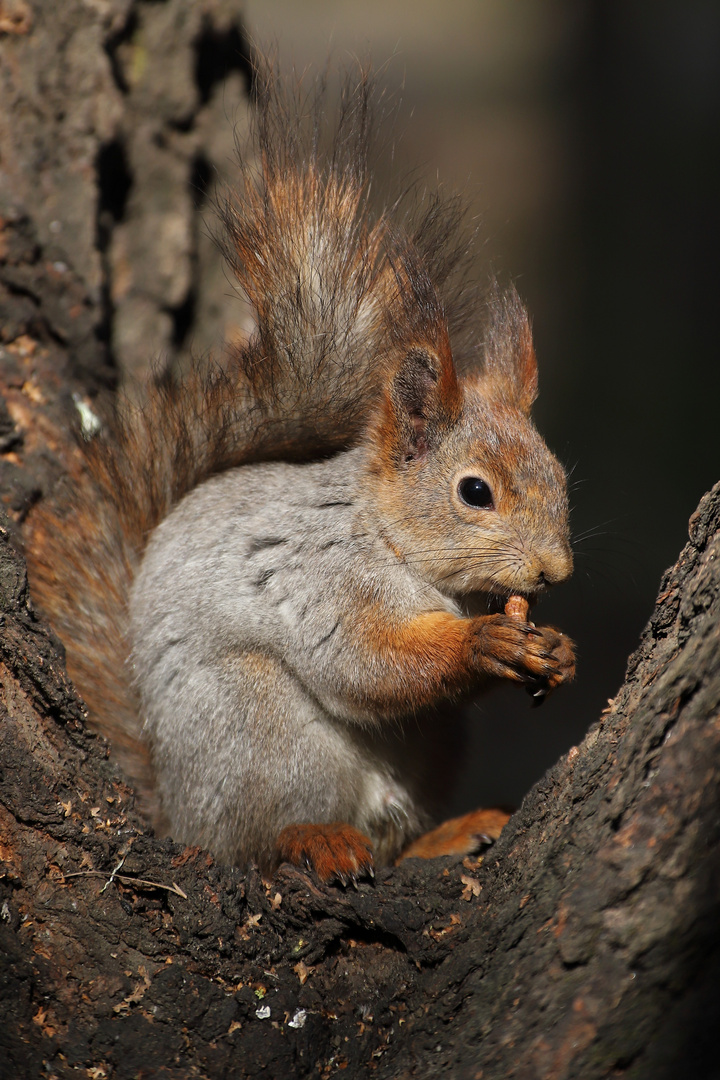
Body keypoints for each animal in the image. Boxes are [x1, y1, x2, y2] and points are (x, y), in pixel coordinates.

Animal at [23, 63, 574, 881]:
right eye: (475, 492)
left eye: (560, 475)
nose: (555, 571)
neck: (389, 538)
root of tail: (178, 813)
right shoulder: (320, 577)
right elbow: (366, 662)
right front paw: (479, 644)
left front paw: (557, 650)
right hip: (258, 729)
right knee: (258, 839)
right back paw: (314, 838)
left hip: (427, 751)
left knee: (395, 835)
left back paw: (448, 835)